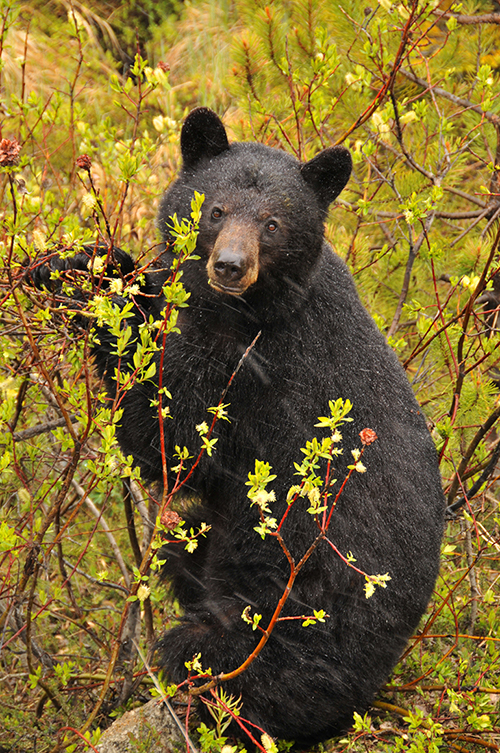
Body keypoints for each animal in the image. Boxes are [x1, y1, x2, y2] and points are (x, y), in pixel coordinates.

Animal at [33, 108, 444, 744]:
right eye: (217, 209)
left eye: (272, 224)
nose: (229, 265)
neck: (244, 308)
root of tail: (373, 687)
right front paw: (77, 264)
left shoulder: (254, 367)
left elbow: (173, 439)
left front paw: (95, 298)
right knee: (184, 544)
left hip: (292, 637)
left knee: (216, 667)